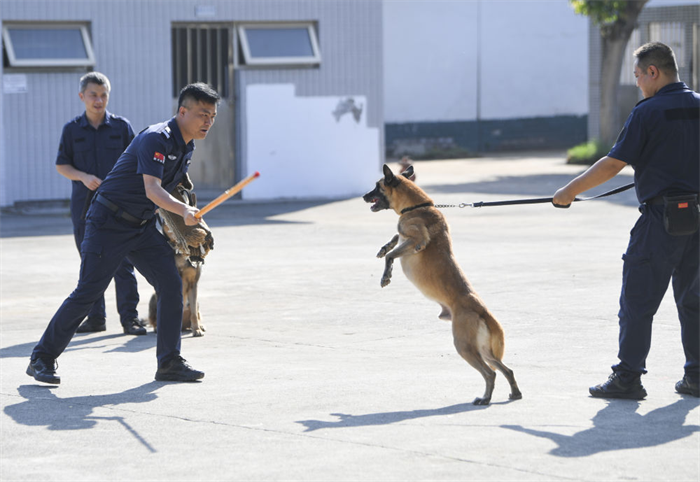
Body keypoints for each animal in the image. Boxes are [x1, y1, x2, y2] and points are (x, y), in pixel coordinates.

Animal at [148, 183, 213, 338]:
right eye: (168, 223)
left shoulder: (193, 284)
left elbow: (194, 311)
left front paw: (197, 329)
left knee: (196, 311)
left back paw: (198, 326)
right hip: (153, 297)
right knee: (155, 318)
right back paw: (157, 327)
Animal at [366, 164, 520, 404]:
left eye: (377, 186)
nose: (364, 197)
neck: (417, 207)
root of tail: (481, 309)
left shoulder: (417, 240)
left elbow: (393, 253)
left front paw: (386, 275)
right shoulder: (405, 236)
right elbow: (394, 239)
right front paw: (384, 247)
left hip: (464, 346)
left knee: (490, 373)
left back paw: (485, 398)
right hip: (483, 349)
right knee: (506, 369)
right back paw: (514, 393)